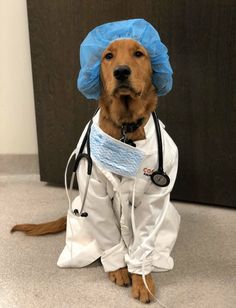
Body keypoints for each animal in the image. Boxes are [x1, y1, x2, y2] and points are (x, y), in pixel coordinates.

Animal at [11, 38, 159, 304]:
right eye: (108, 56)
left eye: (138, 54)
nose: (121, 71)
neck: (125, 129)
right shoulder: (96, 194)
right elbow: (107, 231)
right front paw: (119, 269)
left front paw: (142, 279)